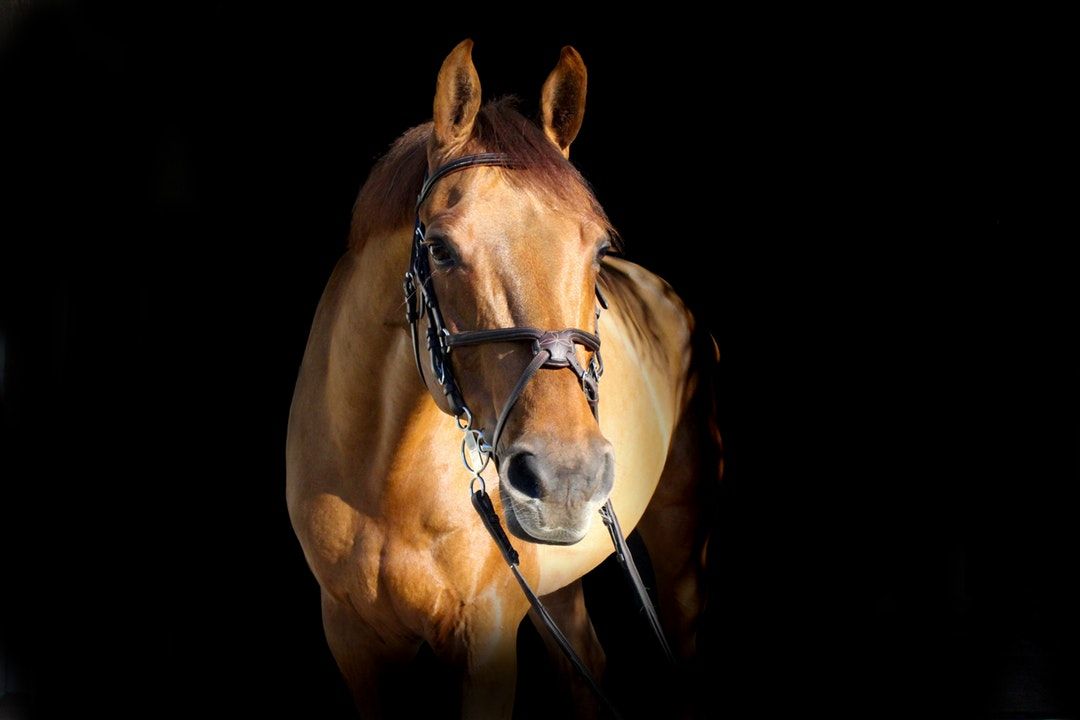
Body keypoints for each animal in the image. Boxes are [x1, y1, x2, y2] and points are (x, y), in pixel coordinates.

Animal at [286, 40, 721, 718]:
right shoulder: (354, 641)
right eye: (439, 249)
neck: (382, 478)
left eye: (600, 249)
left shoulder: (484, 645)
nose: (566, 477)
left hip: (681, 548)